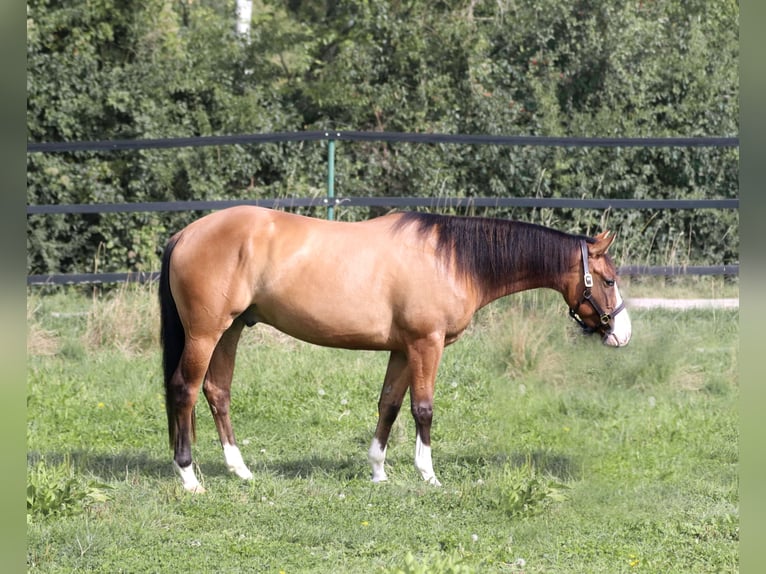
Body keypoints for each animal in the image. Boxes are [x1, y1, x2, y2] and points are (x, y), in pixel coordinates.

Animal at [159, 206, 631, 492]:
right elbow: (423, 408)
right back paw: (189, 477)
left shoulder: (404, 350)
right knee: (184, 390)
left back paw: (240, 470)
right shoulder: (427, 344)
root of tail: (185, 233)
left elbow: (389, 404)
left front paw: (378, 471)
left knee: (217, 391)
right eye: (608, 280)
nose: (623, 333)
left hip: (232, 330)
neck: (449, 258)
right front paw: (428, 474)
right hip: (205, 333)